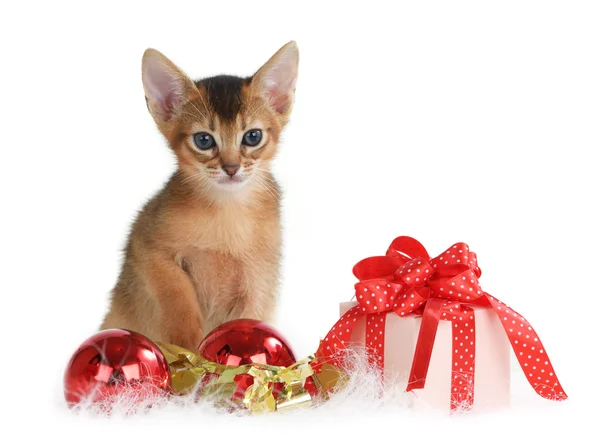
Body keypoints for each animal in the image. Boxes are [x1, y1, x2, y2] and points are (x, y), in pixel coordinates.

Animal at [103, 40, 302, 348]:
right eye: (204, 140)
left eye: (253, 136)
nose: (231, 168)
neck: (226, 211)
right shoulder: (146, 246)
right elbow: (176, 292)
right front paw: (186, 343)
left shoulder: (260, 277)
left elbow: (249, 317)